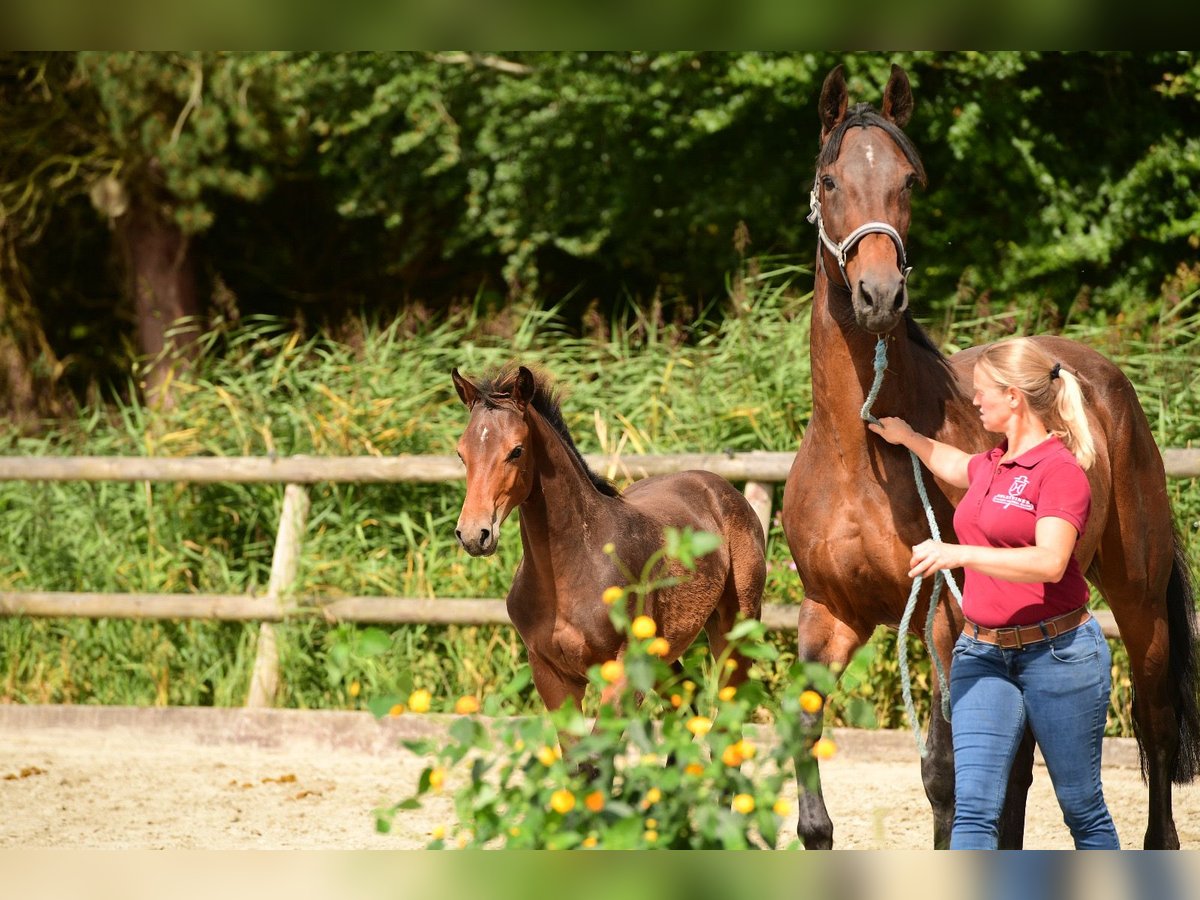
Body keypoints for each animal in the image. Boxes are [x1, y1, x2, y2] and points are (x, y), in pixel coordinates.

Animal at [451, 362, 768, 724]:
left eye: (516, 450)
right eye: (461, 453)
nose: (474, 534)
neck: (571, 571)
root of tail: (721, 487)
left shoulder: (625, 671)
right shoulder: (551, 675)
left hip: (736, 628)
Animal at [777, 65, 1200, 854]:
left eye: (910, 181)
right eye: (828, 179)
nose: (880, 295)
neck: (858, 454)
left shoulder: (945, 616)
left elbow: (946, 776)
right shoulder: (829, 616)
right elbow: (809, 768)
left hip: (1137, 602)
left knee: (1154, 728)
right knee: (1022, 763)